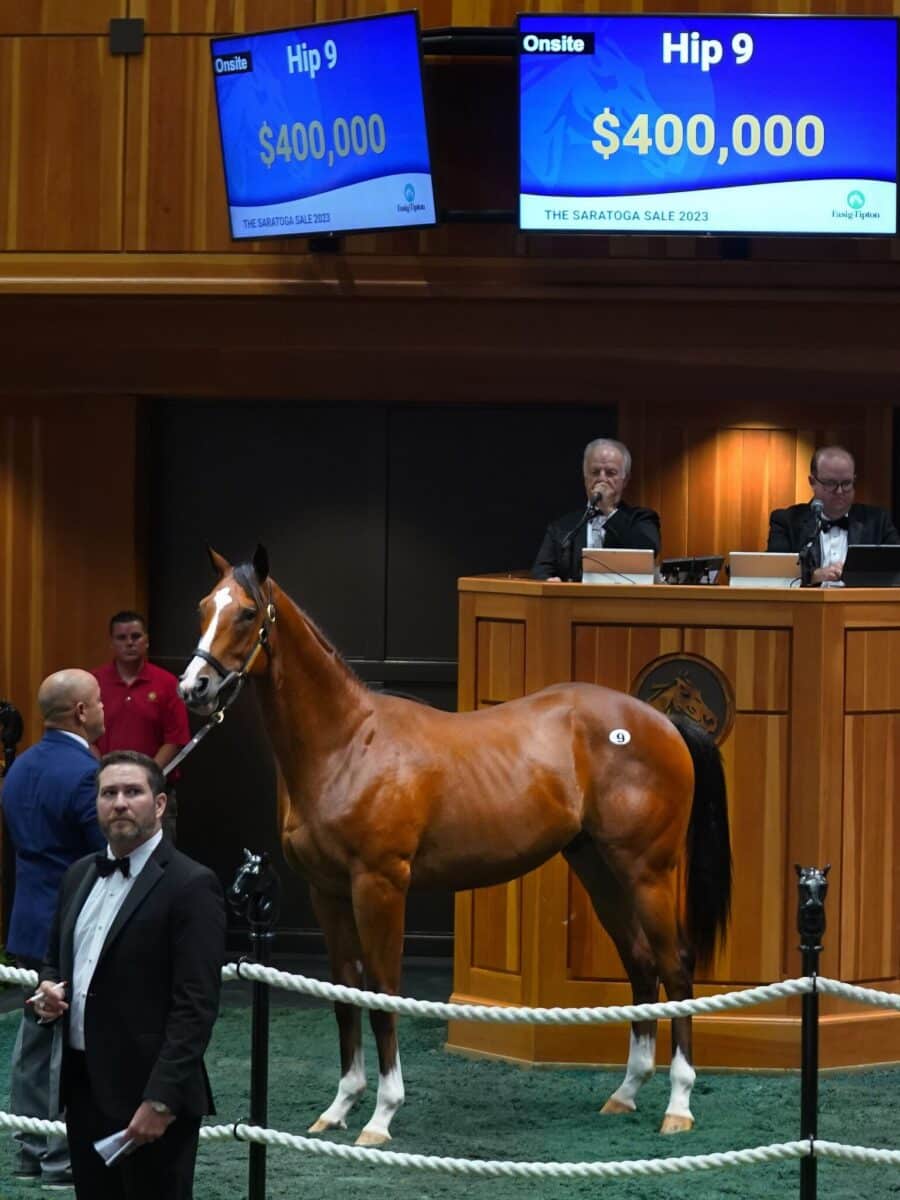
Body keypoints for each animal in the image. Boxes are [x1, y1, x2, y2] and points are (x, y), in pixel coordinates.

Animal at [177, 549, 734, 1147]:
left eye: (247, 613)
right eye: (204, 606)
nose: (194, 686)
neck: (347, 746)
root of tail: (664, 724)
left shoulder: (380, 885)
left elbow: (382, 993)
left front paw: (381, 1116)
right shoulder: (327, 891)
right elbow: (345, 991)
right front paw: (340, 1106)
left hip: (648, 871)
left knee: (676, 966)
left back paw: (678, 1105)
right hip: (599, 868)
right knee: (640, 962)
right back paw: (626, 1092)